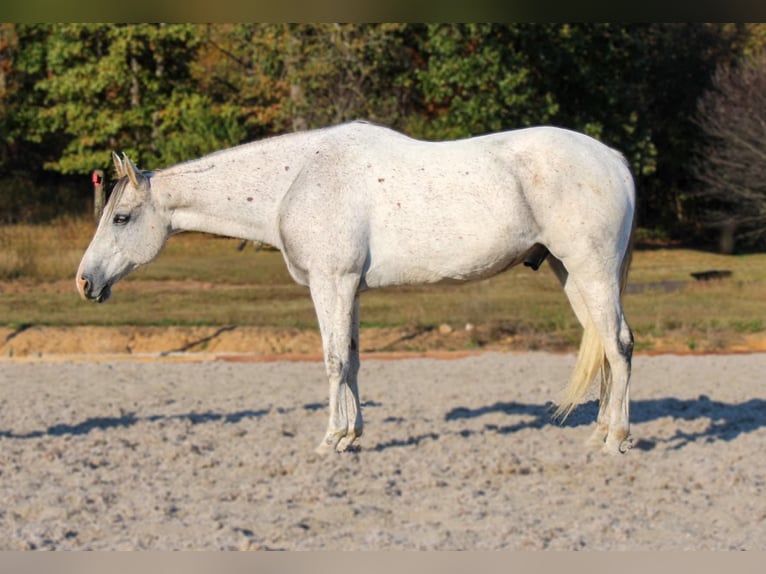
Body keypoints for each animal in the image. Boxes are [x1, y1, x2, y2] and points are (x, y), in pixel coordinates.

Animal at [76, 121, 636, 454]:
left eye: (121, 218)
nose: (85, 281)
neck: (296, 180)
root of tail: (614, 159)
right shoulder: (351, 290)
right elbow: (353, 359)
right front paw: (354, 434)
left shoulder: (332, 283)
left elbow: (332, 361)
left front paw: (331, 439)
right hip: (571, 273)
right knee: (606, 347)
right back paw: (599, 431)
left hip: (592, 269)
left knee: (619, 346)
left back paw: (617, 438)